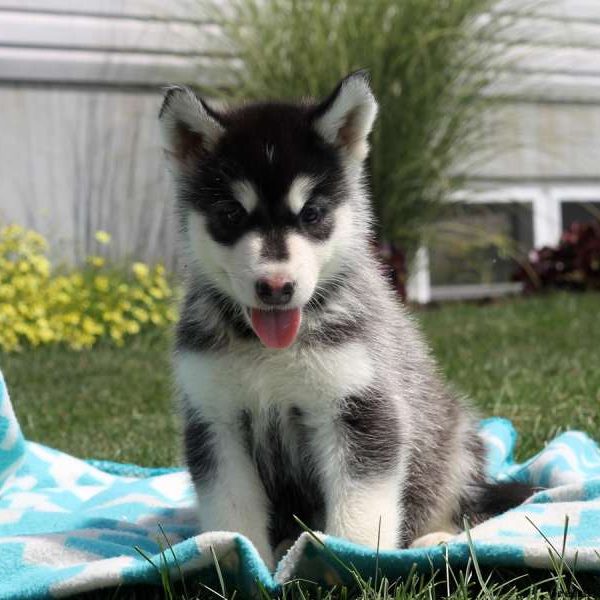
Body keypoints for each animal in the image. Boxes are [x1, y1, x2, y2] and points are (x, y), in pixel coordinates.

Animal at [158, 70, 528, 568]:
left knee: (457, 501)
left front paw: (348, 562)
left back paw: (437, 538)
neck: (268, 351)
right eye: (231, 214)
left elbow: (361, 510)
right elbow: (232, 513)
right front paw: (236, 558)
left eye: (312, 214)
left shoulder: (360, 409)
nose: (276, 287)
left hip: (452, 444)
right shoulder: (216, 419)